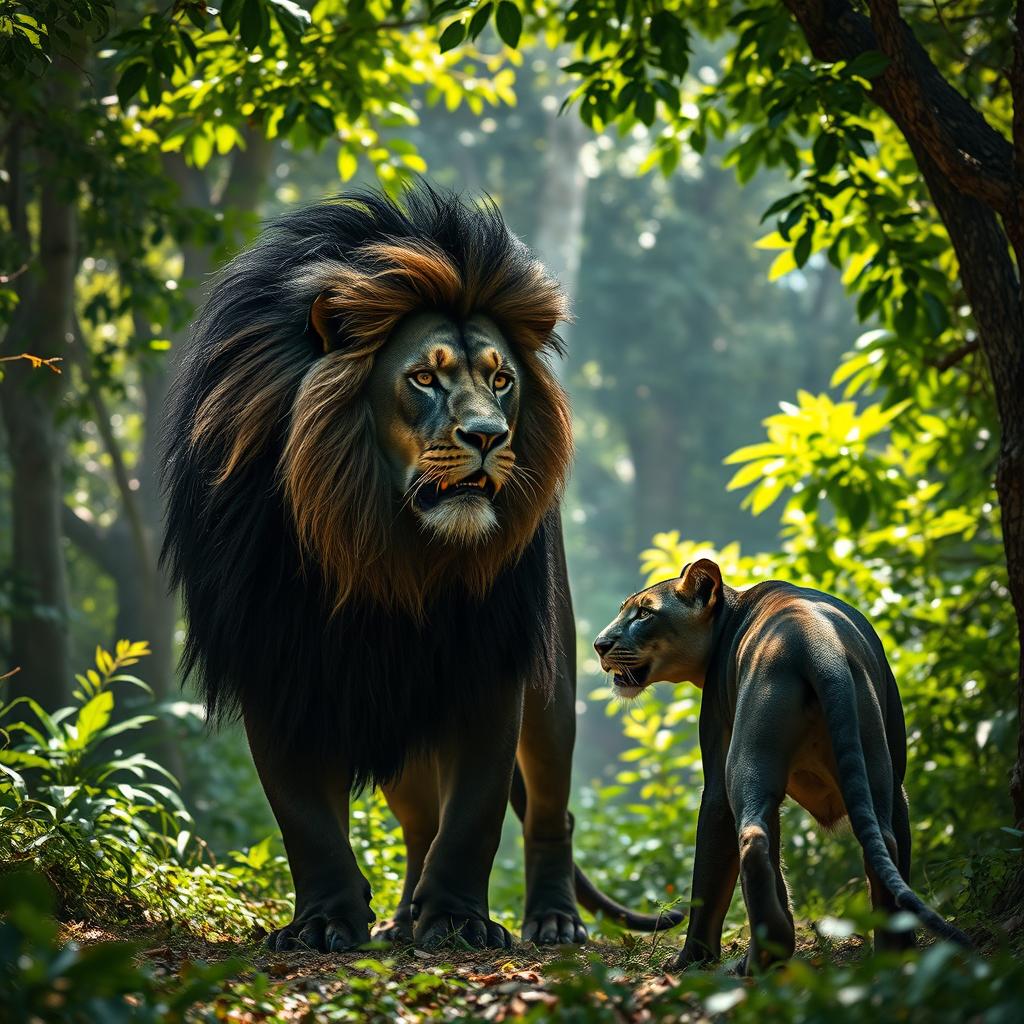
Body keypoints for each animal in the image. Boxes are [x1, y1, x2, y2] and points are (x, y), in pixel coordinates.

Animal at [162, 185, 679, 951]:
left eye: (501, 379)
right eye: (425, 377)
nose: (489, 436)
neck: (382, 549)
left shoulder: (490, 661)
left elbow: (475, 814)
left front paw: (461, 922)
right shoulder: (274, 661)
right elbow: (305, 818)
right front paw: (323, 923)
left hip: (551, 683)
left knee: (547, 810)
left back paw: (553, 920)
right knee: (419, 822)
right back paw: (404, 918)